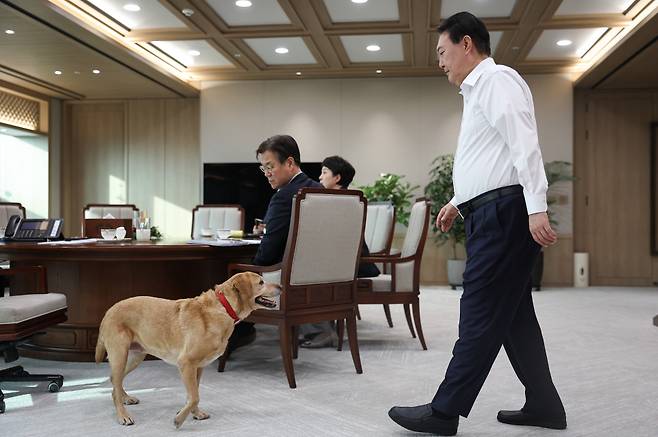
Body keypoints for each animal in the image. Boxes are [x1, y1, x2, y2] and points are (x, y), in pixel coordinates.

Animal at [93, 270, 278, 428]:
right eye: (261, 282)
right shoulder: (186, 363)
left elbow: (193, 394)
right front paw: (179, 419)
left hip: (135, 357)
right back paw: (123, 415)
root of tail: (109, 310)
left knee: (114, 382)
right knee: (115, 385)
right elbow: (195, 396)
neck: (224, 308)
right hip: (120, 355)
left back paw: (125, 398)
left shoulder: (198, 367)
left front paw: (193, 413)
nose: (281, 287)